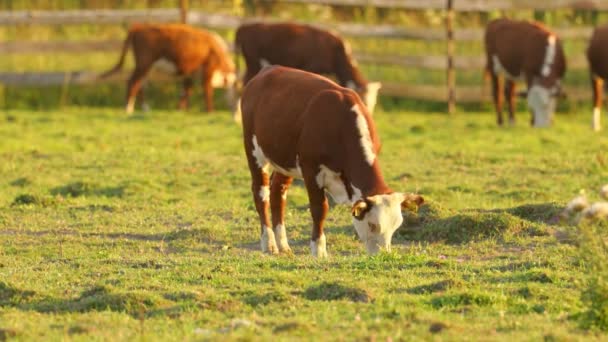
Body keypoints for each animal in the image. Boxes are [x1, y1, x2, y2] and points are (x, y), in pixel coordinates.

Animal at [100, 23, 235, 113]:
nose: (233, 108)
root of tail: (139, 27)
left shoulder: (190, 72)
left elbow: (187, 90)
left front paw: (180, 109)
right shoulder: (207, 70)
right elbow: (207, 91)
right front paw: (210, 111)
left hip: (146, 67)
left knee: (140, 84)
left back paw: (145, 108)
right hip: (144, 64)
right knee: (133, 82)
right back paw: (128, 109)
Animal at [233, 23, 380, 116]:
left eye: (373, 102)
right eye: (364, 100)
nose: (368, 115)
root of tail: (244, 27)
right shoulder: (312, 68)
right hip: (253, 65)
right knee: (242, 86)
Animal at [240, 65, 420, 256]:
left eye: (396, 226)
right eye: (372, 225)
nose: (383, 255)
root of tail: (267, 70)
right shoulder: (311, 169)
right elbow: (320, 208)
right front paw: (318, 250)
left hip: (285, 161)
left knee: (277, 193)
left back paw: (283, 244)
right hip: (254, 151)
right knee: (261, 193)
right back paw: (269, 243)